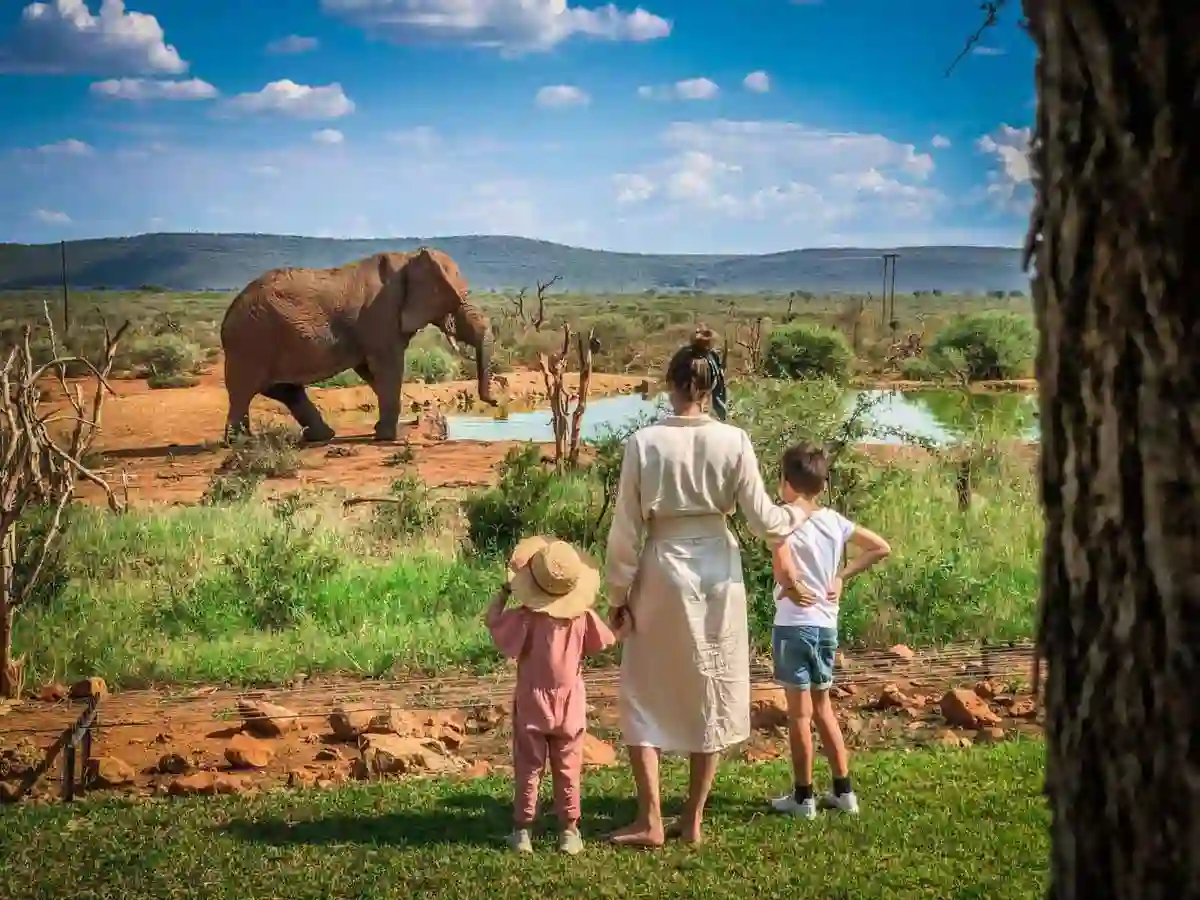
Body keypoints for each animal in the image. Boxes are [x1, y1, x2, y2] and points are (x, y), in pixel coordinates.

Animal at [219, 247, 495, 443]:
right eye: (460, 298)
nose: (492, 403)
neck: (409, 257)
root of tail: (228, 317)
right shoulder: (381, 315)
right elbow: (387, 366)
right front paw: (388, 437)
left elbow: (371, 371)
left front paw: (383, 430)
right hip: (252, 341)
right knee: (245, 391)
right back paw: (240, 443)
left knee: (284, 390)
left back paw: (319, 437)